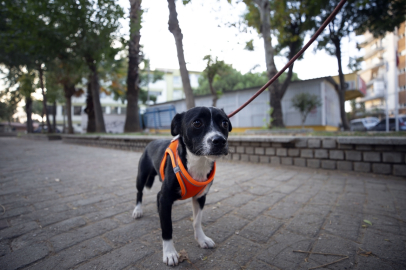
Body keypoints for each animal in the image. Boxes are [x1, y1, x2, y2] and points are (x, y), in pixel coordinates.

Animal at [132, 106, 232, 266]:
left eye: (224, 123)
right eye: (197, 123)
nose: (219, 141)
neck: (198, 162)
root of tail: (152, 141)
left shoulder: (200, 197)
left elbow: (197, 221)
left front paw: (202, 239)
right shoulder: (165, 197)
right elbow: (167, 227)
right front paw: (170, 253)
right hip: (141, 175)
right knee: (139, 192)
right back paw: (137, 210)